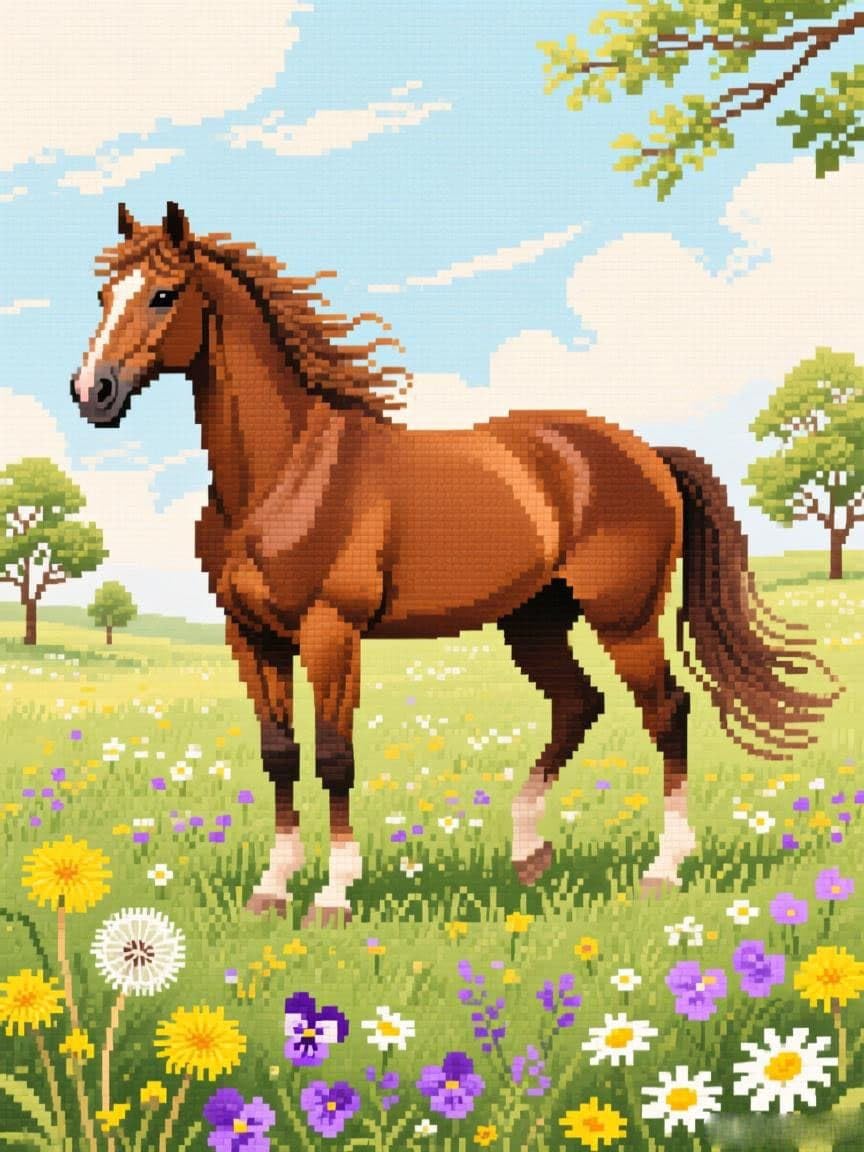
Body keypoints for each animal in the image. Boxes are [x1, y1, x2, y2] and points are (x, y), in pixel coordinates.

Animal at [71, 202, 836, 924]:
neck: (282, 475)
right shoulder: (250, 635)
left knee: (665, 710)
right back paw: (529, 852)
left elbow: (334, 757)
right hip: (534, 622)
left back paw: (663, 869)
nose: (92, 392)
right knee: (578, 704)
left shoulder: (331, 632)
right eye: (104, 294)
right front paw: (272, 888)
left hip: (623, 618)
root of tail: (646, 452)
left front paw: (334, 897)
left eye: (164, 294)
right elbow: (278, 753)